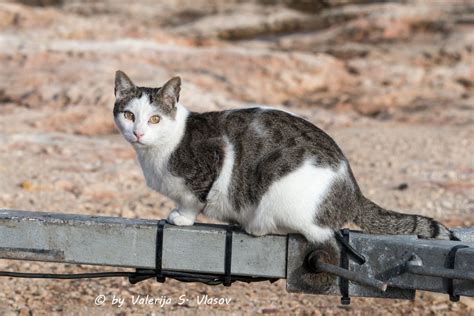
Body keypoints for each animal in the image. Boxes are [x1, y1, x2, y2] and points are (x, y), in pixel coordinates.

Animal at [112, 71, 456, 244]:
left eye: (154, 119)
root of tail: (353, 192)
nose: (138, 132)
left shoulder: (211, 162)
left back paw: (256, 226)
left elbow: (193, 199)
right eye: (129, 115)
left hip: (280, 191)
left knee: (313, 232)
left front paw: (182, 216)